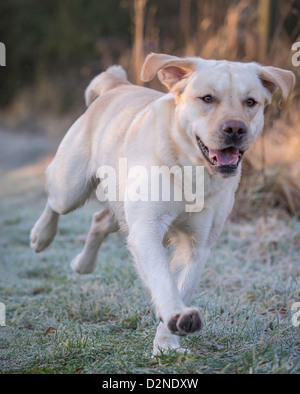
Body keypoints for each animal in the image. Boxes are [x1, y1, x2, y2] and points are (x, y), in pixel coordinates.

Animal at [31, 53, 296, 354]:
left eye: (250, 102)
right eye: (207, 98)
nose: (235, 128)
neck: (191, 171)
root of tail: (117, 85)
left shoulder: (197, 245)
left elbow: (180, 284)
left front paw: (167, 343)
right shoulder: (147, 228)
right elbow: (162, 279)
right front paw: (175, 316)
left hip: (121, 204)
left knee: (100, 220)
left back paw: (83, 264)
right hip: (71, 187)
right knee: (54, 197)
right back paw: (41, 236)